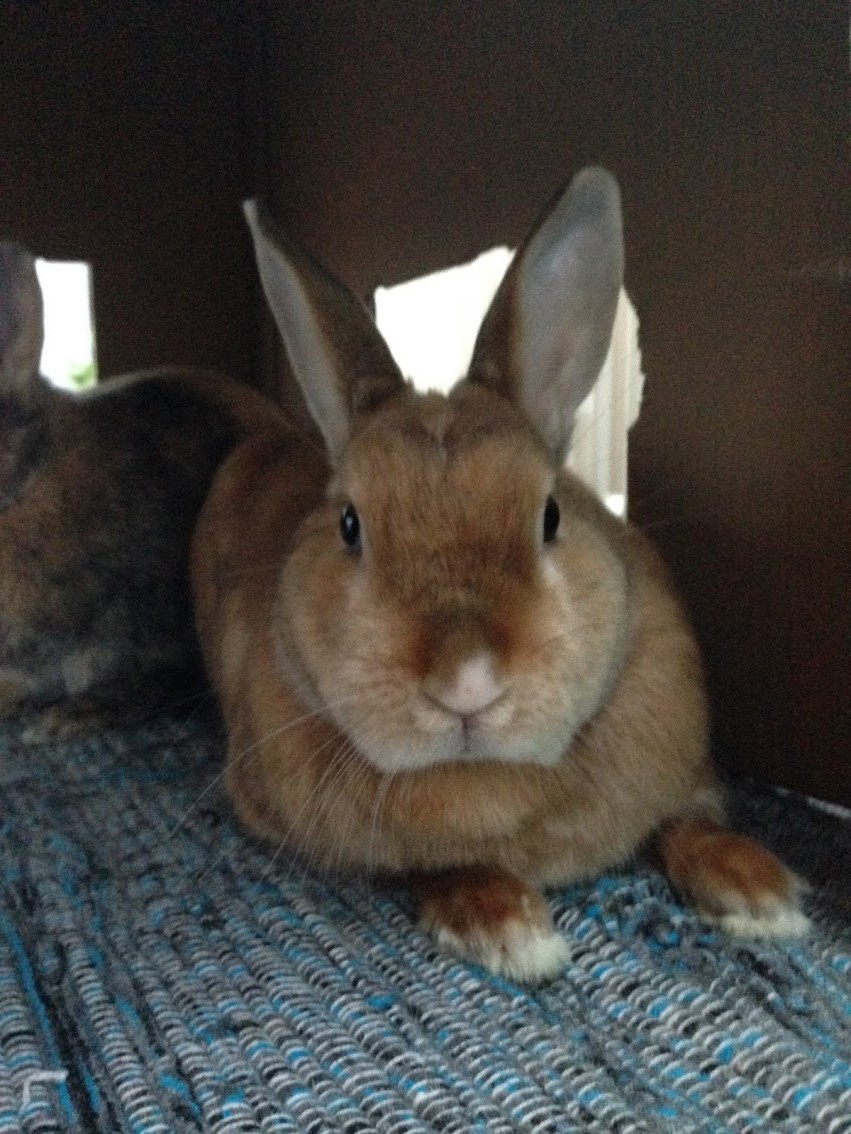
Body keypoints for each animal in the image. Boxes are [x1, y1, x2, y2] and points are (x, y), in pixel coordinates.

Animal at [191, 167, 808, 982]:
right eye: (350, 525)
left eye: (550, 515)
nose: (467, 680)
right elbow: (436, 862)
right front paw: (511, 931)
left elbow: (688, 822)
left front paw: (763, 893)